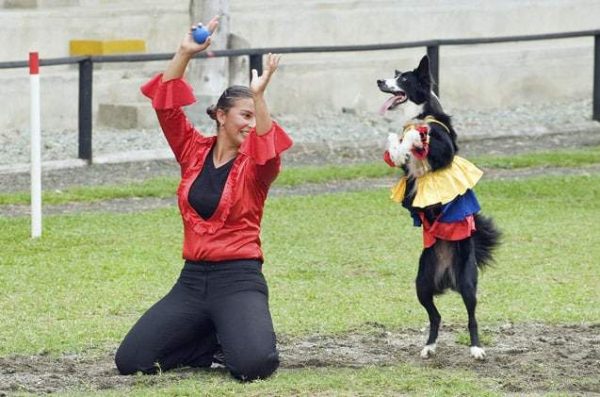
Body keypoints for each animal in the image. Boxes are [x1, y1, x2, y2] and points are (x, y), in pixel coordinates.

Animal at [378, 55, 500, 358]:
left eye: (404, 79)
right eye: (393, 76)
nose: (380, 81)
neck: (420, 114)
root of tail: (447, 278)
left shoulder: (444, 151)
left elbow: (420, 137)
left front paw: (412, 137)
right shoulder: (406, 173)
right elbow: (398, 147)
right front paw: (397, 145)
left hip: (467, 284)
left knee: (471, 318)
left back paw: (476, 349)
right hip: (422, 284)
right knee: (436, 316)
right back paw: (429, 346)